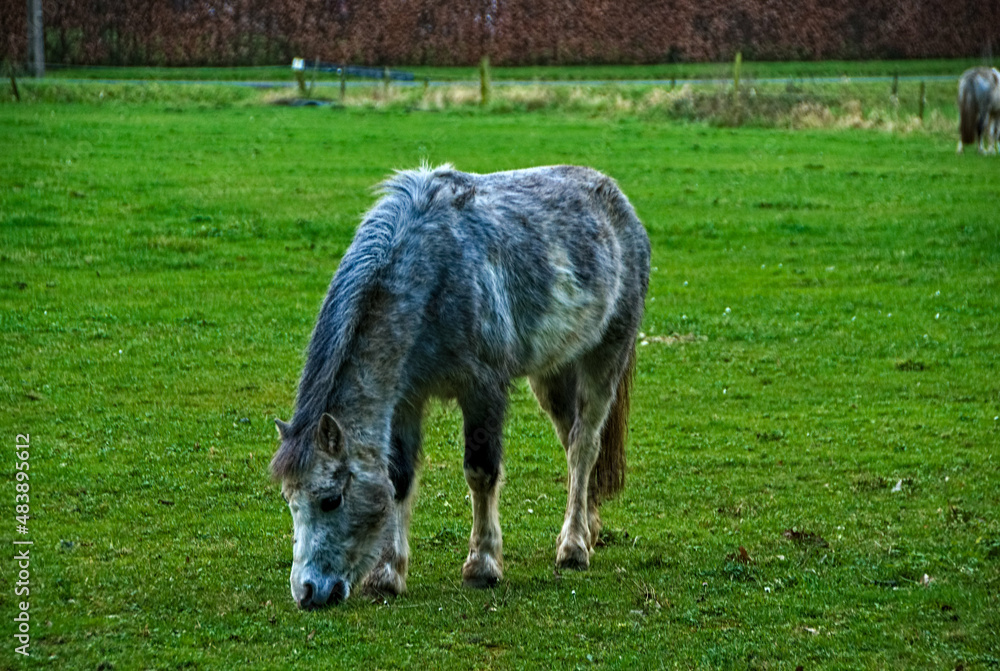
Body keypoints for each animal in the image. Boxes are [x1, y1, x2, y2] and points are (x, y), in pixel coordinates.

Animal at [270, 164, 650, 609]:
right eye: (289, 499)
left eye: (331, 499)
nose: (308, 591)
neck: (433, 276)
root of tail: (618, 201)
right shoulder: (406, 399)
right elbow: (398, 479)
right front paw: (387, 575)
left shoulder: (482, 389)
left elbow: (480, 472)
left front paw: (482, 565)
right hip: (553, 374)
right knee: (572, 441)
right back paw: (588, 527)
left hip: (604, 357)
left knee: (585, 446)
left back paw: (573, 547)